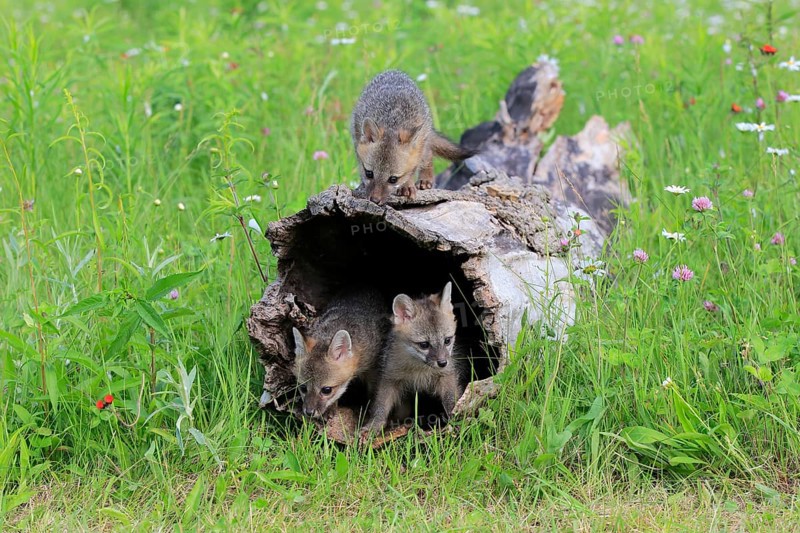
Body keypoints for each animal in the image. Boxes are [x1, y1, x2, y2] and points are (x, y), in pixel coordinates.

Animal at [291, 288, 391, 420]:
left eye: (326, 390)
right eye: (303, 387)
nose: (309, 412)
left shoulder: (373, 368)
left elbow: (372, 391)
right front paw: (332, 408)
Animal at [350, 70, 477, 205]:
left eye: (393, 179)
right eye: (369, 173)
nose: (375, 200)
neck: (393, 121)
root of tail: (393, 71)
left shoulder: (417, 152)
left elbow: (410, 172)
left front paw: (407, 185)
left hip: (423, 141)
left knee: (428, 154)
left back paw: (425, 179)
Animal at [361, 281, 463, 436]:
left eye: (447, 340)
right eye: (424, 344)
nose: (443, 363)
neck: (419, 370)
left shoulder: (447, 375)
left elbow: (451, 400)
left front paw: (455, 418)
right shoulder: (389, 379)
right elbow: (380, 406)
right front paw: (373, 426)